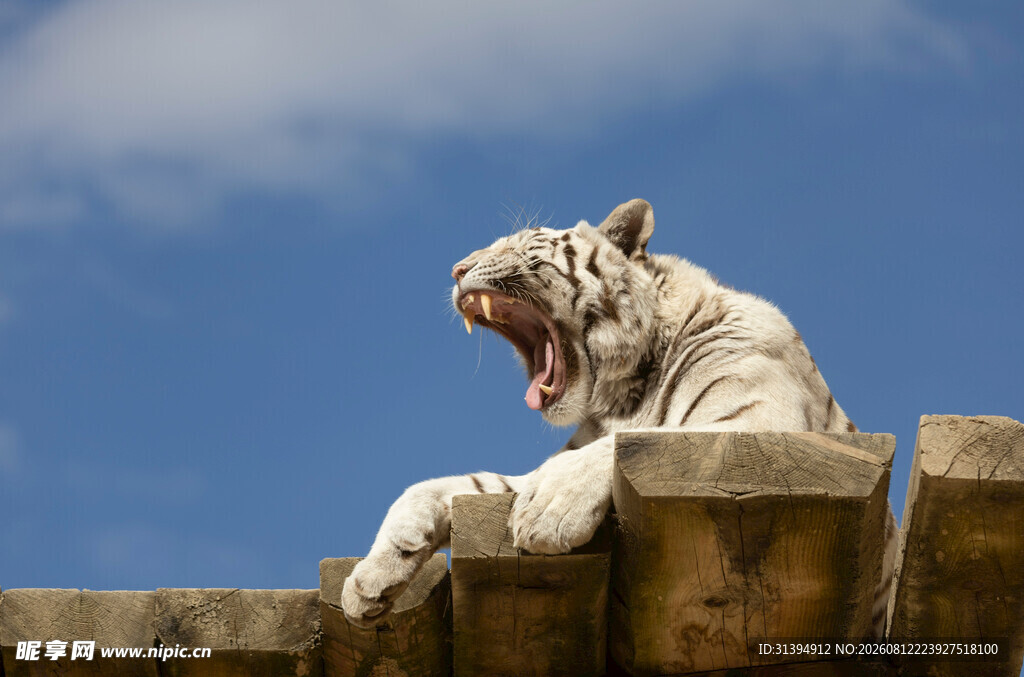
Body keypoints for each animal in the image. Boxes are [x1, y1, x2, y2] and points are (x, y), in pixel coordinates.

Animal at [341, 198, 898, 637]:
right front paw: (368, 582)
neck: (625, 392)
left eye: (524, 244)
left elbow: (645, 438)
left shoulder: (760, 428)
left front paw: (549, 514)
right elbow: (438, 488)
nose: (457, 270)